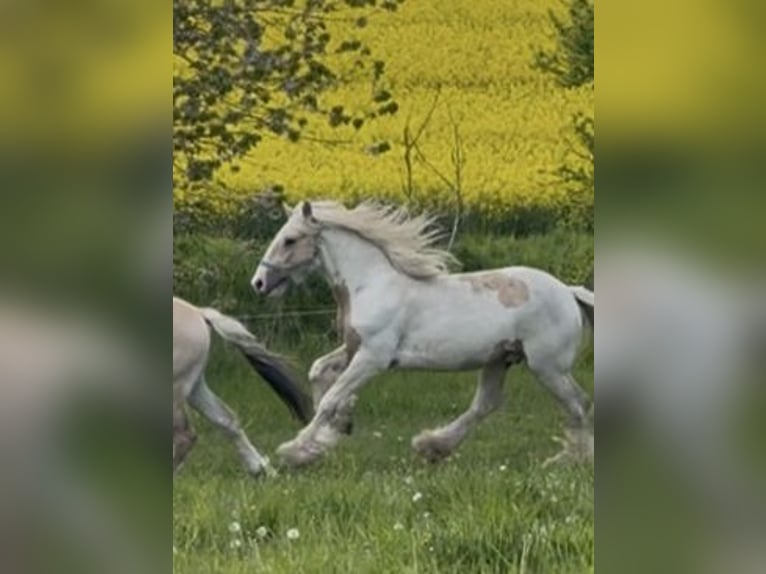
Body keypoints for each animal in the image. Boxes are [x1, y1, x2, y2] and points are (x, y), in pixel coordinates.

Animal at [172, 297, 312, 476]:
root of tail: (200, 313)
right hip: (195, 388)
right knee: (227, 420)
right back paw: (260, 470)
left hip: (177, 389)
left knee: (186, 434)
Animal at [249, 200, 594, 468]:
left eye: (290, 240)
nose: (259, 283)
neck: (369, 284)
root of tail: (569, 291)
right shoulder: (353, 348)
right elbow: (319, 372)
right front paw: (337, 429)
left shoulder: (373, 356)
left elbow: (331, 398)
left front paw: (295, 451)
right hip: (500, 358)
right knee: (485, 404)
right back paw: (432, 447)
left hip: (546, 366)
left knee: (578, 403)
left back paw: (571, 459)